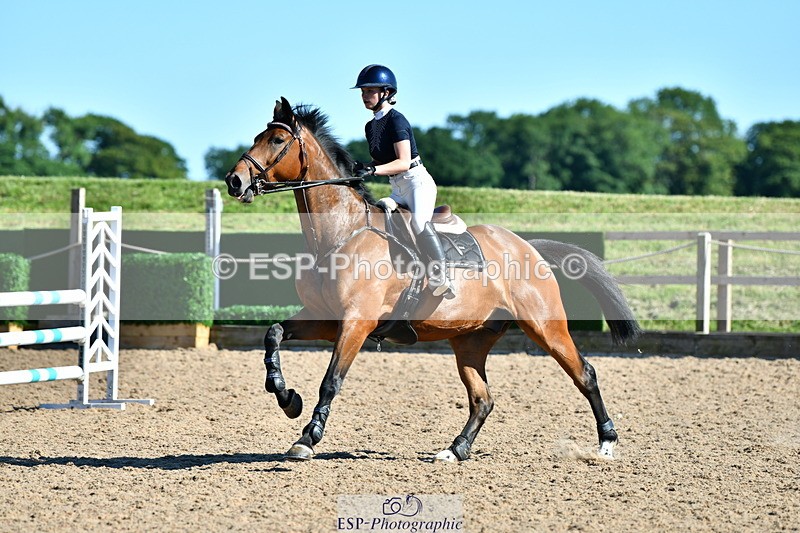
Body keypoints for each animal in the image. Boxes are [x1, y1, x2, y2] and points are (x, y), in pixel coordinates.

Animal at [224, 97, 641, 462]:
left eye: (277, 141)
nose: (234, 181)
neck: (341, 233)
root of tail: (527, 246)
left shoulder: (357, 322)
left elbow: (331, 379)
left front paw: (307, 438)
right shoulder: (325, 318)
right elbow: (274, 334)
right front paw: (286, 397)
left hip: (545, 326)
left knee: (584, 374)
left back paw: (606, 443)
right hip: (470, 340)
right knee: (483, 399)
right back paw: (455, 450)